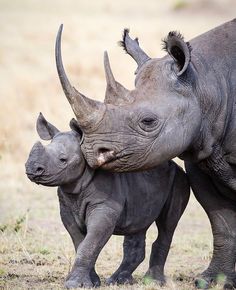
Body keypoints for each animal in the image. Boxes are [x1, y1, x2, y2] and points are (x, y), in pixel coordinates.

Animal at [24, 112, 189, 288]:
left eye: (63, 160)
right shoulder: (67, 208)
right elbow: (81, 242)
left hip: (179, 179)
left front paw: (75, 284)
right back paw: (118, 281)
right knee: (138, 224)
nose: (32, 169)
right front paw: (92, 282)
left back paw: (153, 282)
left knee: (168, 224)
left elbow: (90, 243)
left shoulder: (104, 207)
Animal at [55, 19, 236, 288]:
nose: (91, 150)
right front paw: (211, 281)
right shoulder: (203, 153)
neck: (206, 82)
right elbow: (221, 221)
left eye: (148, 122)